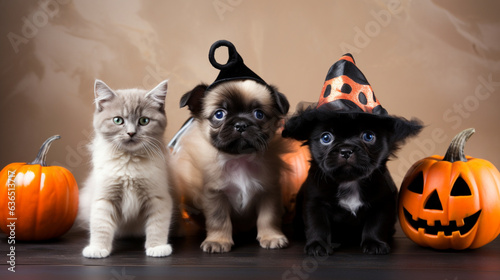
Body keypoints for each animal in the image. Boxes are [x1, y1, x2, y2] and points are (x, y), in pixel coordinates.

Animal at [77, 79, 172, 258]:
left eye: (144, 121)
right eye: (117, 120)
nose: (131, 133)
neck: (129, 163)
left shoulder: (158, 197)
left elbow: (157, 224)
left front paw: (157, 247)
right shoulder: (104, 197)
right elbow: (100, 225)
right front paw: (97, 248)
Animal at [282, 53, 422, 256]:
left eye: (368, 136)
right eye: (326, 138)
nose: (346, 149)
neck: (350, 181)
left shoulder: (383, 203)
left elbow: (376, 225)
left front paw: (374, 243)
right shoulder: (315, 203)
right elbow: (317, 225)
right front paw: (317, 245)